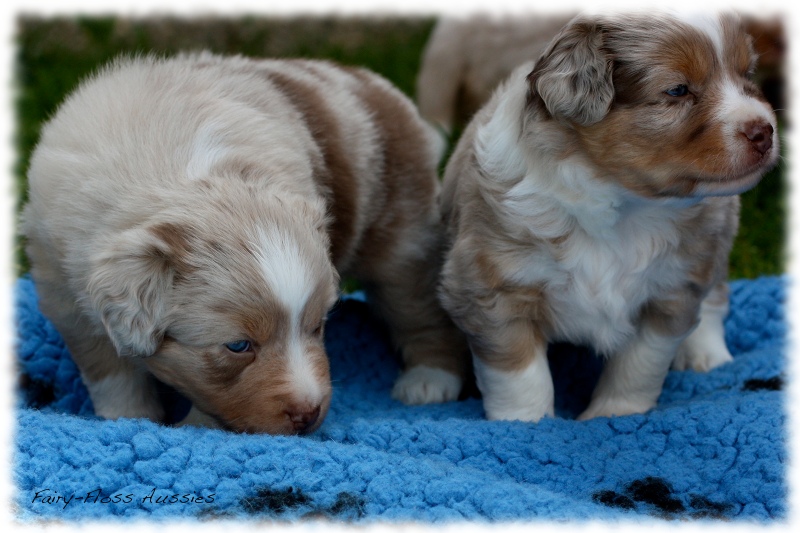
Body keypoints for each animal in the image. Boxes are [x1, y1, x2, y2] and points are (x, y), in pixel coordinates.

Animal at [21, 54, 468, 434]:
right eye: (238, 346)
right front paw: (127, 418)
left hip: (405, 233)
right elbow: (108, 369)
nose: (308, 414)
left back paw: (429, 381)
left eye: (316, 325)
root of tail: (382, 88)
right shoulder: (63, 285)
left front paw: (195, 425)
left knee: (417, 307)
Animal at [438, 12, 780, 422]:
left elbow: (639, 364)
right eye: (677, 90)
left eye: (747, 74)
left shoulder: (670, 290)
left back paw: (706, 355)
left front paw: (615, 414)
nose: (764, 131)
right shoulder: (492, 286)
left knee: (714, 297)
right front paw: (524, 424)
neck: (624, 204)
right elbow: (520, 374)